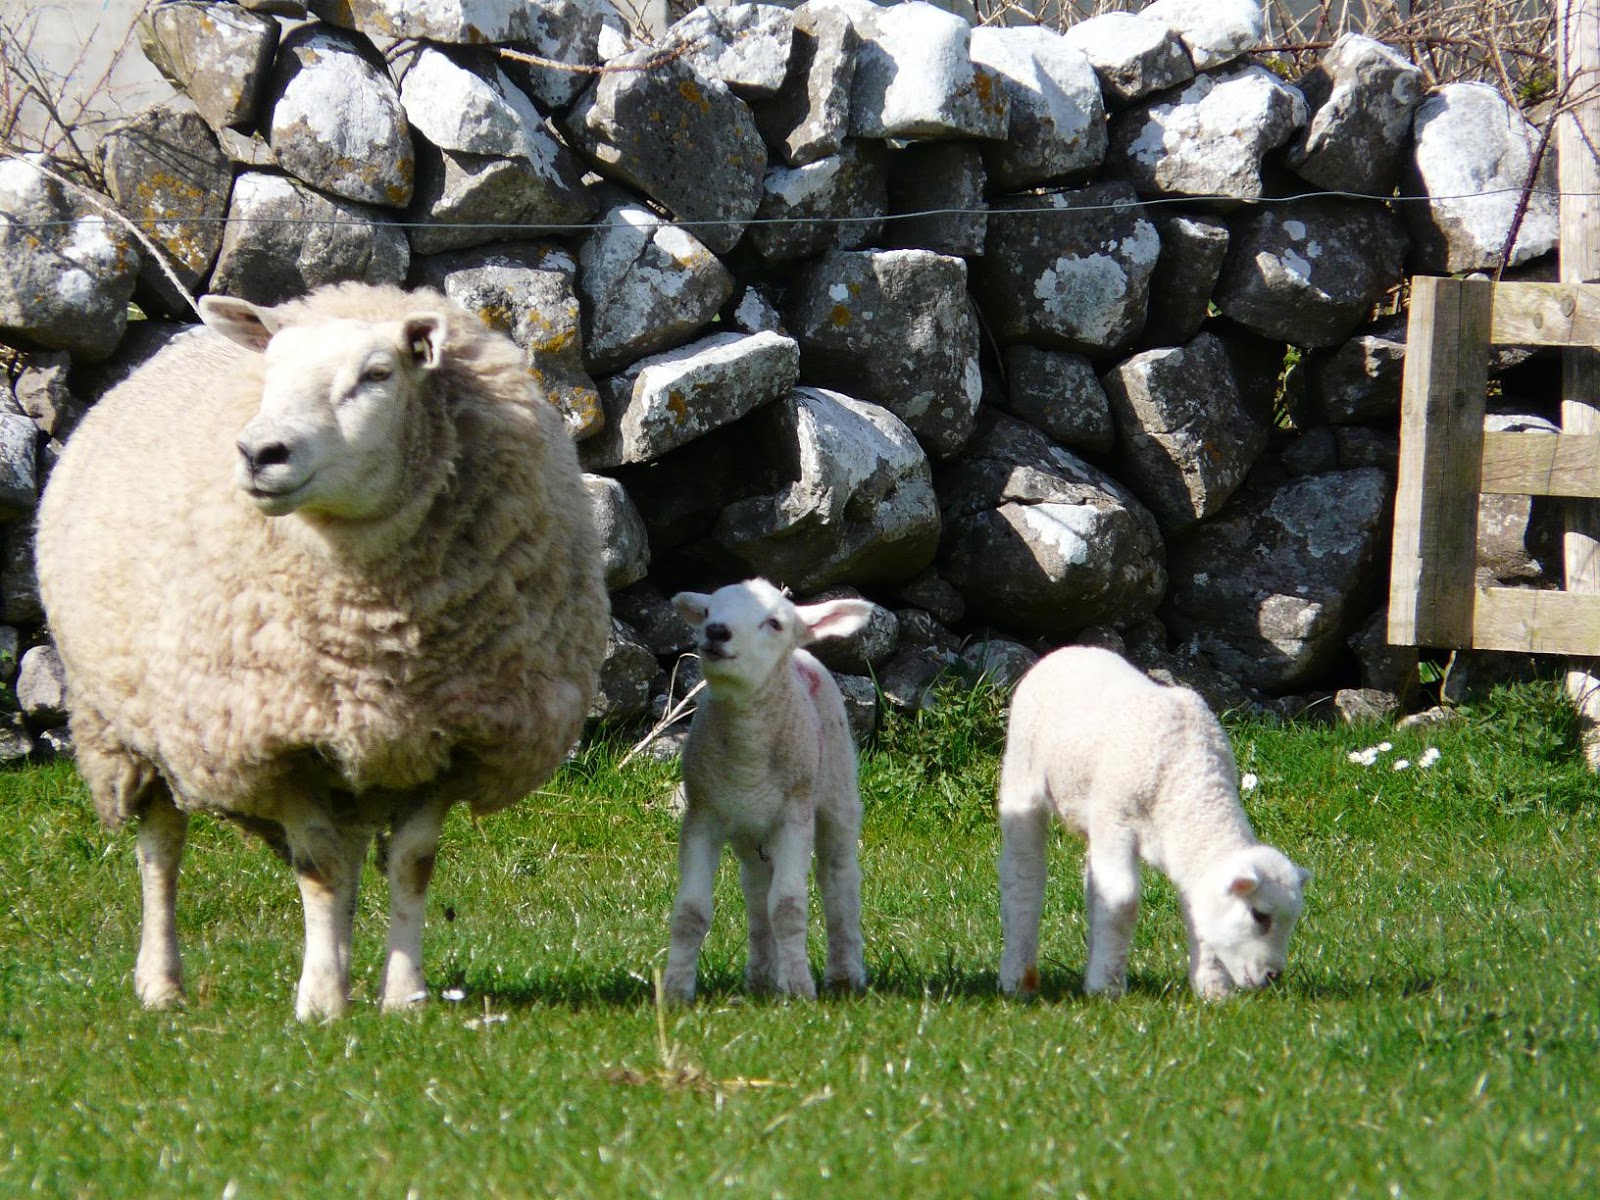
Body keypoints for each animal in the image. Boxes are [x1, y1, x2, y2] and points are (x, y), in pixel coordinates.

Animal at [35, 281, 608, 1020]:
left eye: (377, 374)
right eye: (270, 371)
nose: (260, 453)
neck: (377, 630)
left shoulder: (455, 735)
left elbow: (411, 862)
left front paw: (402, 995)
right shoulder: (276, 742)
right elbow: (319, 867)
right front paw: (320, 1002)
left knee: (353, 850)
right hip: (133, 728)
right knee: (161, 850)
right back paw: (162, 985)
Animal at [664, 579, 873, 1002]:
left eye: (773, 623)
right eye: (708, 612)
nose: (716, 631)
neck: (748, 754)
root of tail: (803, 650)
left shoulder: (794, 816)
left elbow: (789, 907)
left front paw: (799, 989)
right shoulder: (702, 814)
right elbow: (690, 910)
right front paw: (675, 990)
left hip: (836, 790)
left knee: (838, 875)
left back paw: (844, 974)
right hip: (749, 831)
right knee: (758, 890)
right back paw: (762, 976)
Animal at [996, 646, 1310, 1000]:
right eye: (1259, 915)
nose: (1273, 976)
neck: (1189, 778)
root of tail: (1068, 650)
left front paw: (1214, 992)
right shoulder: (1115, 819)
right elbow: (1121, 900)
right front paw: (1107, 988)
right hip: (1023, 771)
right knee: (1023, 873)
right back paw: (1018, 977)